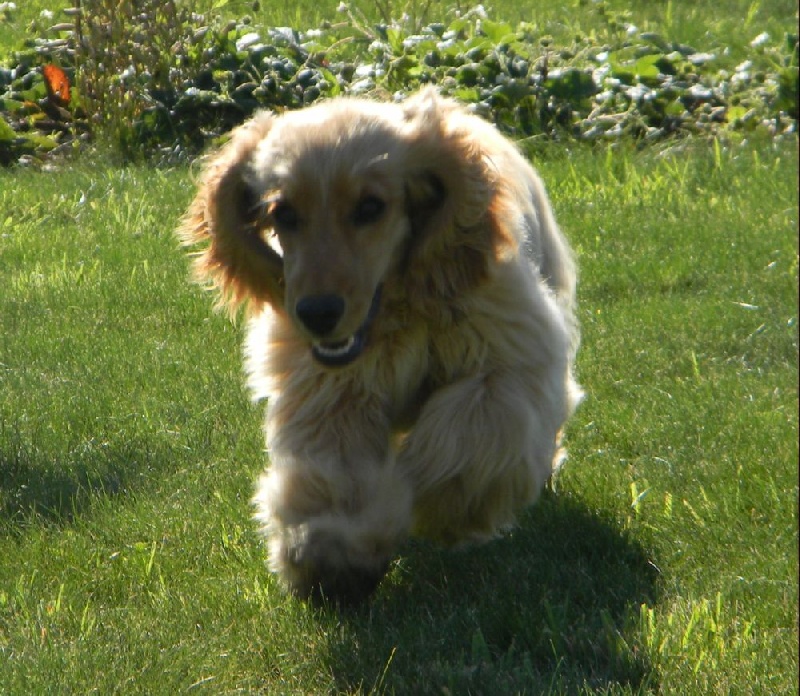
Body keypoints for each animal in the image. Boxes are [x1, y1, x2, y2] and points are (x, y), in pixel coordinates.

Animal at [178, 89, 580, 608]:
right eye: (283, 213)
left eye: (371, 207)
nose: (317, 313)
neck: (394, 311)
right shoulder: (333, 388)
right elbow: (337, 471)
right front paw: (331, 552)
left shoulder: (508, 359)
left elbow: (468, 442)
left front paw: (428, 503)